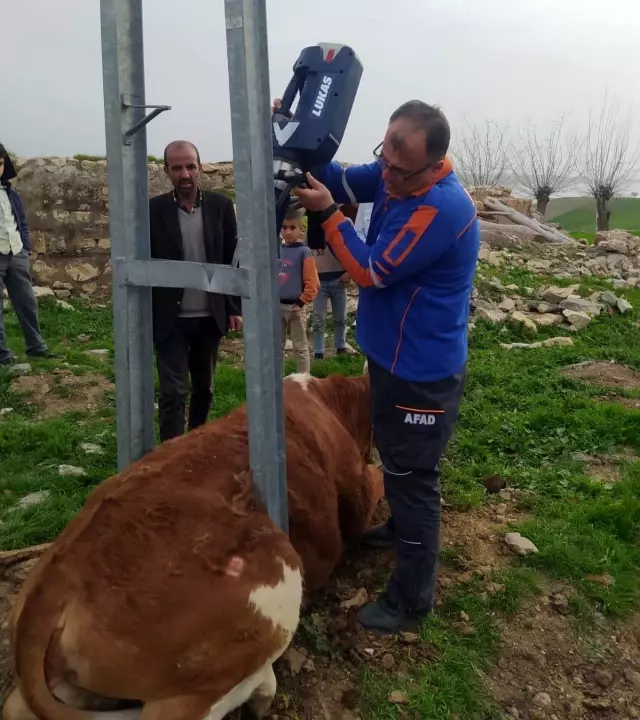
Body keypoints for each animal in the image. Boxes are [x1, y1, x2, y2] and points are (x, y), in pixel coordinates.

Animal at [3, 374, 380, 720]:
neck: (327, 401)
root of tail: (61, 575)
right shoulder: (357, 489)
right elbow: (377, 481)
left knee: (18, 707)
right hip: (268, 601)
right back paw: (263, 686)